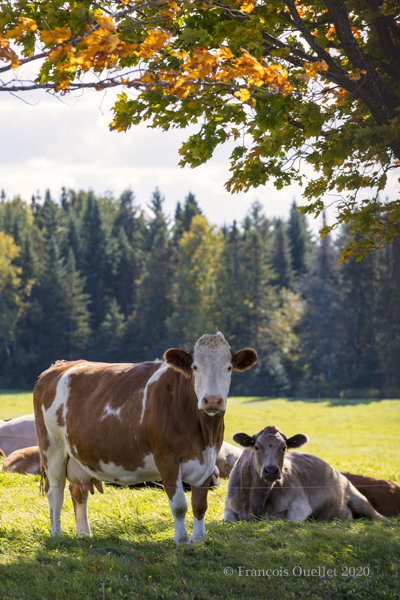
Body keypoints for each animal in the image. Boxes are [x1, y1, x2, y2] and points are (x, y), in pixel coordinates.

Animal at [35, 332, 260, 544]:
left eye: (229, 368)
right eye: (195, 367)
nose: (212, 400)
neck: (203, 433)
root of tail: (60, 365)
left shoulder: (208, 459)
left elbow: (200, 505)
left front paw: (199, 539)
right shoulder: (167, 459)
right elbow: (179, 505)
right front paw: (182, 541)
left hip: (77, 456)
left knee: (78, 492)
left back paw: (83, 534)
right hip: (52, 448)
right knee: (55, 491)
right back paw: (56, 533)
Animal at [223, 426, 386, 520]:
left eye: (284, 448)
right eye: (256, 447)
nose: (271, 471)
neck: (255, 501)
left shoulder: (300, 506)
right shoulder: (228, 509)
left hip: (357, 497)